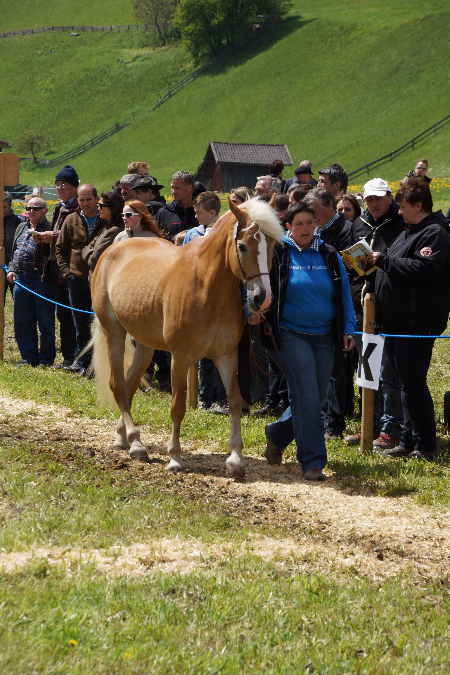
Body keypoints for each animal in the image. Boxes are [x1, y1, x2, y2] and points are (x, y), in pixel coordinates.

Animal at [90, 197, 283, 478]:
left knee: (130, 384)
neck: (206, 285)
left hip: (146, 345)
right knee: (118, 385)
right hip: (113, 332)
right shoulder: (180, 358)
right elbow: (177, 407)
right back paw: (136, 443)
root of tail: (112, 250)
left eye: (272, 246)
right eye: (242, 246)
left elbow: (236, 402)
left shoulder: (227, 356)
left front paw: (236, 459)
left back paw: (123, 437)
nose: (262, 299)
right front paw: (175, 458)